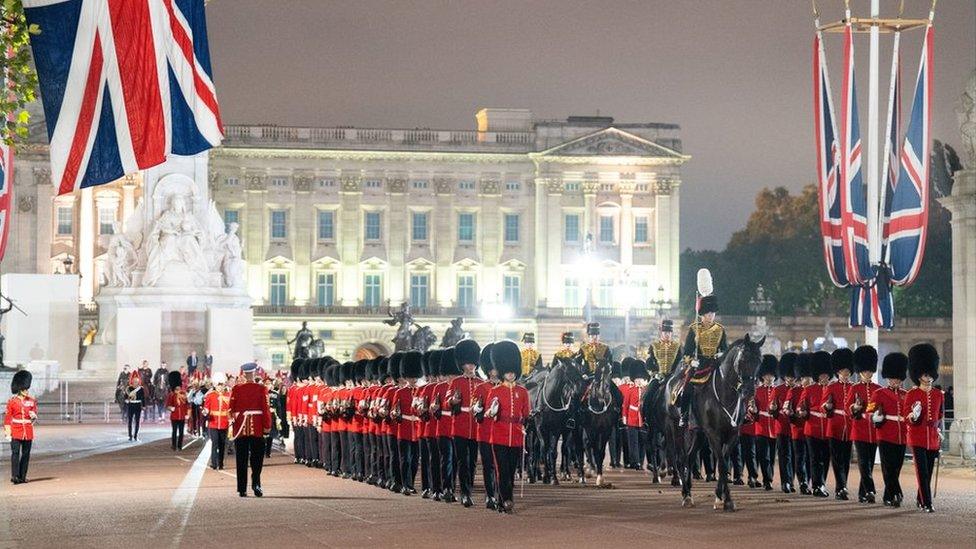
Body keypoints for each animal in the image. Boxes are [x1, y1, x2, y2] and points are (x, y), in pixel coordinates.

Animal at [528, 356, 584, 484]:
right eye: (569, 370)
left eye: (580, 368)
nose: (580, 387)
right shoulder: (540, 429)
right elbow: (544, 450)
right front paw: (546, 476)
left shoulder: (557, 429)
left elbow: (553, 452)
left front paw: (553, 477)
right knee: (531, 450)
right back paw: (531, 475)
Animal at [664, 334, 764, 510]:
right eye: (743, 359)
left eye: (759, 361)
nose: (749, 391)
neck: (725, 393)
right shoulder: (713, 434)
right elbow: (722, 464)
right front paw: (728, 500)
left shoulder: (732, 434)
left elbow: (723, 460)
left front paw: (719, 497)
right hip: (675, 427)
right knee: (681, 458)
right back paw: (685, 494)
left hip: (698, 433)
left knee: (690, 457)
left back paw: (688, 492)